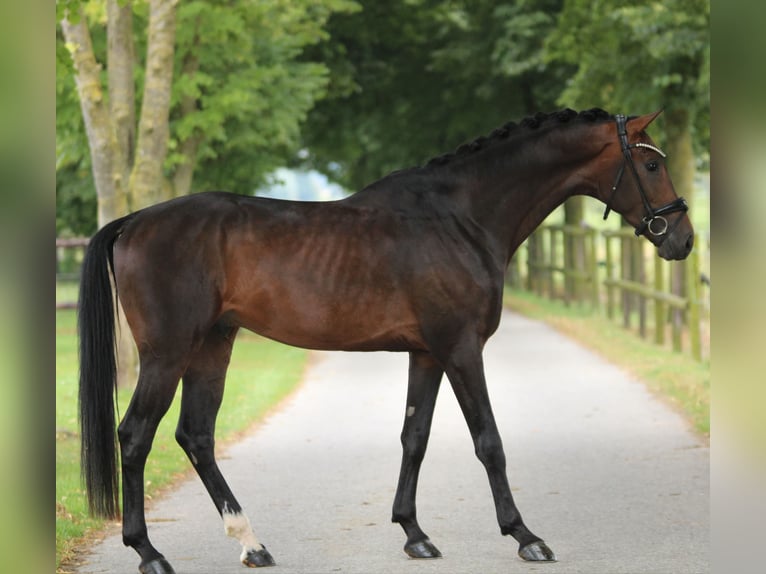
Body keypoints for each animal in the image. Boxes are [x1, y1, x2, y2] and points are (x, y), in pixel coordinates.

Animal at [78, 109, 696, 574]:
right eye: (650, 163)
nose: (683, 239)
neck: (459, 217)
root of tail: (134, 221)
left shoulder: (426, 353)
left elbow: (414, 437)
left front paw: (414, 533)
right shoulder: (461, 348)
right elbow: (488, 440)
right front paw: (525, 535)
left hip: (213, 345)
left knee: (197, 436)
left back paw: (251, 544)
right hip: (167, 353)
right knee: (135, 436)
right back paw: (150, 553)